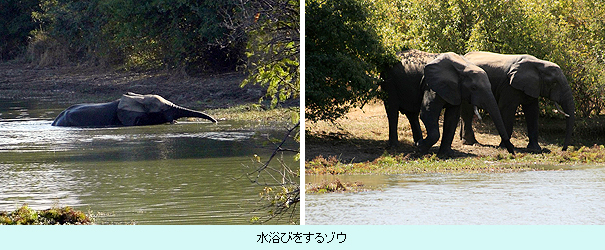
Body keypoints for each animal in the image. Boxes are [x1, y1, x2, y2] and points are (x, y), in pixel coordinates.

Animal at [380, 49, 512, 155]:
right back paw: (396, 145)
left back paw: (416, 142)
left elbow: (452, 117)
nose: (512, 153)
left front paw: (446, 153)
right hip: (389, 82)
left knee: (412, 114)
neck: (463, 66)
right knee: (392, 111)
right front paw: (421, 148)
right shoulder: (431, 85)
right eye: (474, 88)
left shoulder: (456, 90)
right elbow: (428, 113)